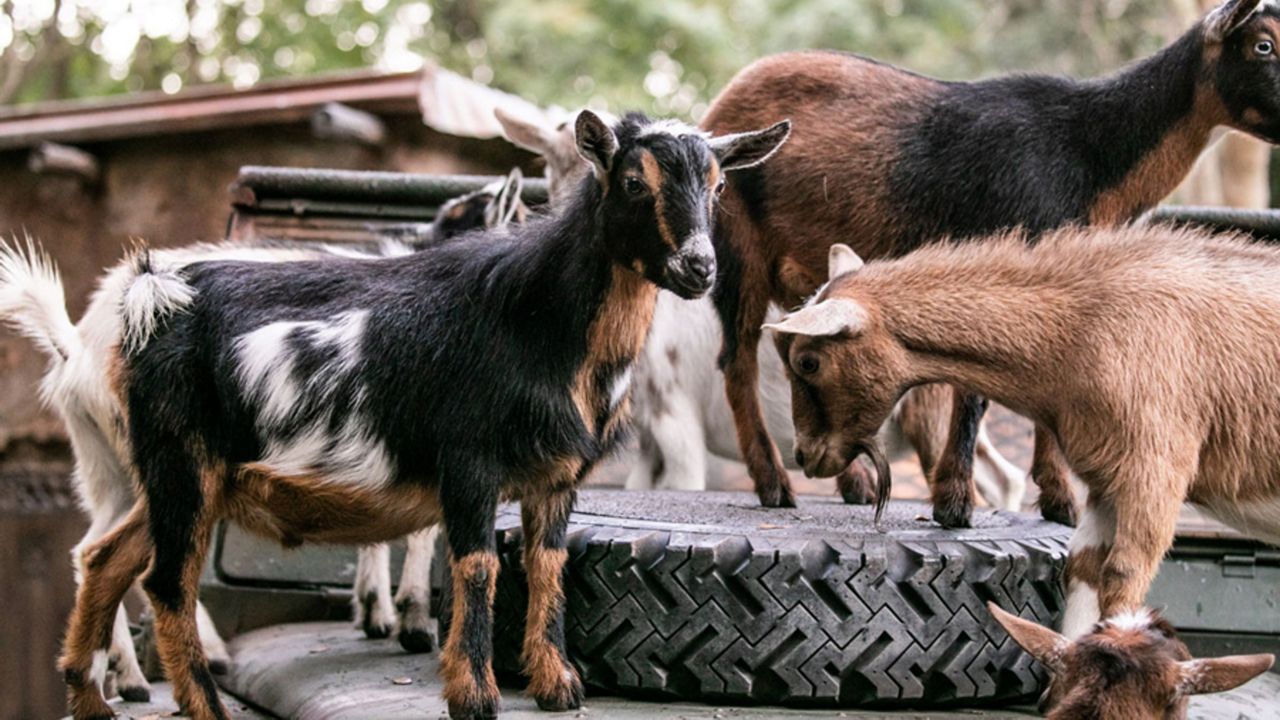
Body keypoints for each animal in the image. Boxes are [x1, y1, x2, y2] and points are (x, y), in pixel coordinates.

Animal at [0, 169, 527, 702]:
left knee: (93, 547)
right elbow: (421, 528)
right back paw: (188, 658)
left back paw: (126, 675)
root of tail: (76, 348)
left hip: (109, 465)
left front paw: (374, 610)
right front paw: (410, 621)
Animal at [57, 112, 788, 717]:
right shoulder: (468, 461)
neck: (535, 319)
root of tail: (152, 291)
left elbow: (548, 565)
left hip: (180, 475)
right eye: (634, 181)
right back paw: (201, 705)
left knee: (106, 557)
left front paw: (557, 685)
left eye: (719, 185)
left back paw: (91, 699)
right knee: (167, 583)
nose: (699, 269)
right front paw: (474, 694)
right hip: (181, 458)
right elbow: (477, 566)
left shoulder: (557, 479)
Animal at [706, 0, 1280, 527]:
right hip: (737, 251)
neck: (1088, 152)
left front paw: (1058, 503)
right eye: (1263, 45)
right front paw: (955, 504)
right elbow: (975, 393)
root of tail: (723, 104)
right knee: (737, 362)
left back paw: (854, 483)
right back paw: (775, 484)